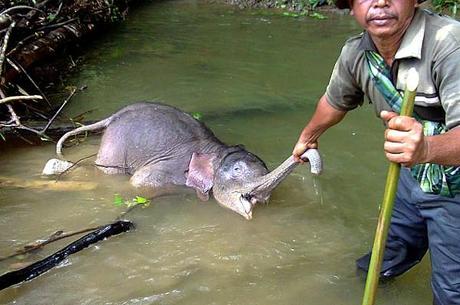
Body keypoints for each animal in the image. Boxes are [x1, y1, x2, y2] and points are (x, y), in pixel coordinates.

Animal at [54, 102, 320, 218]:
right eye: (236, 169)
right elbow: (138, 182)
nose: (306, 154)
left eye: (264, 165)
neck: (215, 150)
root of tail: (112, 116)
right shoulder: (167, 170)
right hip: (113, 148)